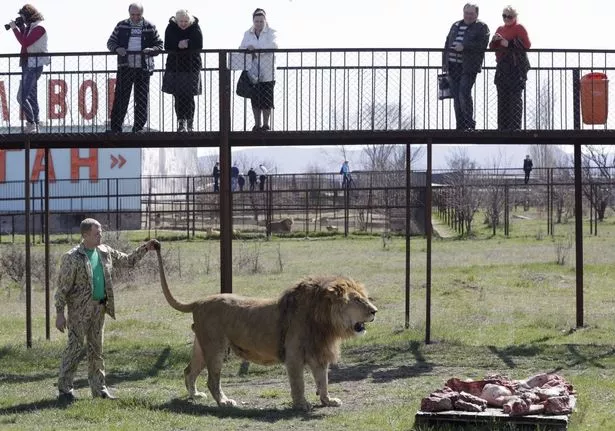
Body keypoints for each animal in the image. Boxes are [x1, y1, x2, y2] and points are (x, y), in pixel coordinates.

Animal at [155, 248, 376, 410]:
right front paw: (301, 404)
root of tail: (199, 302)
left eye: (365, 298)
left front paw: (328, 401)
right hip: (216, 348)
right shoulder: (294, 355)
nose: (375, 311)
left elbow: (323, 381)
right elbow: (299, 383)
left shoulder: (319, 353)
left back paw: (195, 395)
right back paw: (224, 402)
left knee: (188, 371)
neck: (324, 321)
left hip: (202, 348)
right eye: (357, 300)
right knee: (212, 380)